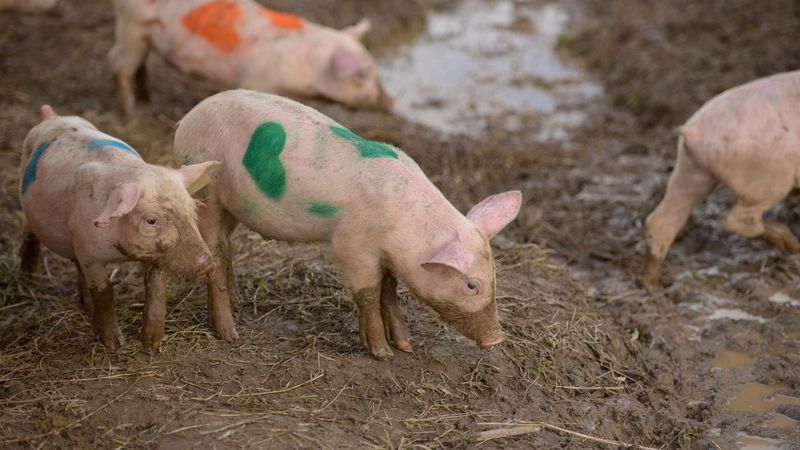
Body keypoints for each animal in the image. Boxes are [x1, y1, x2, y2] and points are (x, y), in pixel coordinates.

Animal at [18, 104, 220, 348]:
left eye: (192, 210)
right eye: (151, 220)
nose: (210, 265)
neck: (121, 253)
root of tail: (52, 116)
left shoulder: (157, 255)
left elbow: (156, 289)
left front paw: (152, 342)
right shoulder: (90, 254)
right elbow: (104, 292)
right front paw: (115, 344)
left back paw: (85, 305)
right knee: (30, 232)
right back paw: (28, 278)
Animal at [108, 0, 392, 118]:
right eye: (363, 76)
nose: (390, 102)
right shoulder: (258, 80)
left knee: (138, 66)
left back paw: (147, 101)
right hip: (130, 27)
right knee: (117, 65)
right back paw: (129, 113)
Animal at [173, 89, 524, 360]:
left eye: (494, 277)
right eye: (471, 285)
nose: (497, 338)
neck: (410, 228)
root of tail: (186, 119)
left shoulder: (387, 255)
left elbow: (389, 291)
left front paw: (406, 346)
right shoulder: (352, 246)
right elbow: (369, 293)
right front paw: (382, 353)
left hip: (232, 207)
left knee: (226, 246)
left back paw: (237, 299)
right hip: (208, 194)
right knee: (214, 251)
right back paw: (230, 334)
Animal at [640, 69, 800, 288]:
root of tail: (694, 130)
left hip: (692, 170)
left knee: (661, 220)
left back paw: (649, 285)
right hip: (769, 176)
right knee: (738, 220)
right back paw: (791, 244)